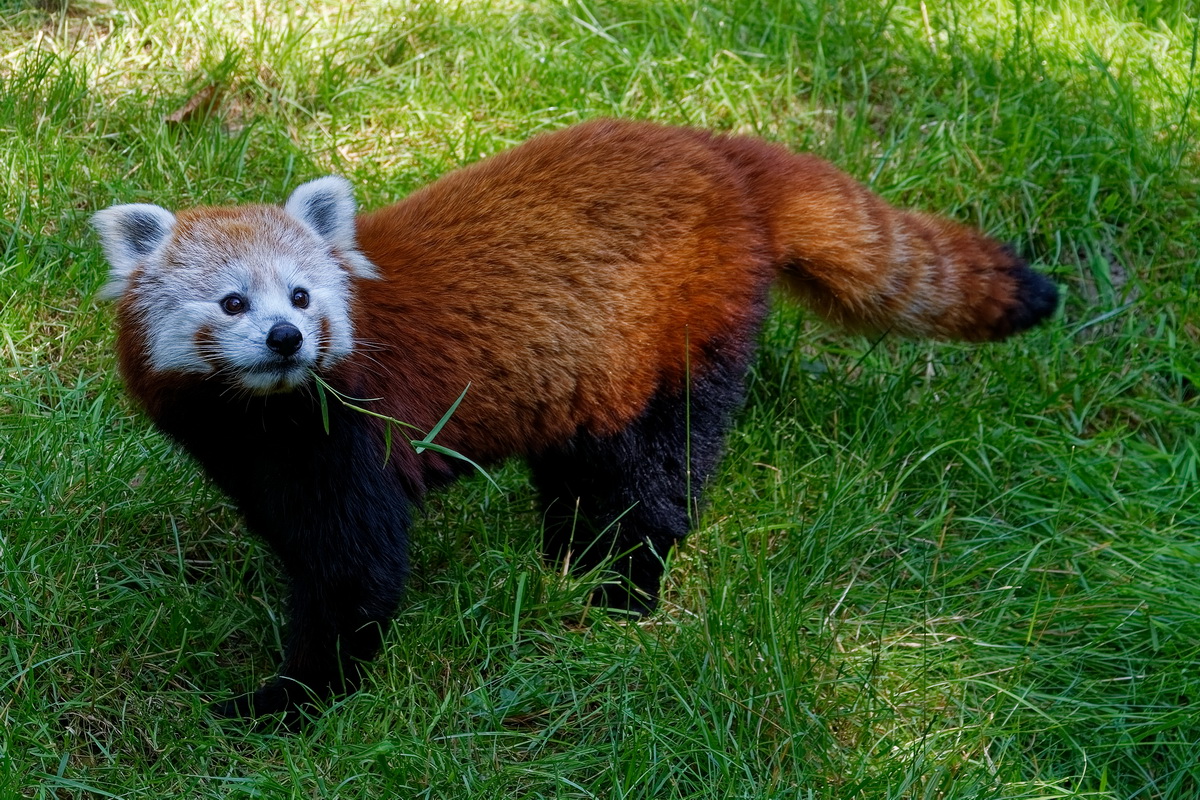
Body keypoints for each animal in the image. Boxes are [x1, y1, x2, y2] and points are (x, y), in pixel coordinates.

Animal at [93, 118, 1056, 719]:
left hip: (681, 328)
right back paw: (566, 554)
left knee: (662, 469)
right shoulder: (253, 451)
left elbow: (355, 573)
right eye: (232, 302)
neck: (267, 415)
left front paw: (290, 700)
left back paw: (625, 586)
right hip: (584, 370)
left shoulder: (352, 432)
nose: (288, 338)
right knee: (582, 457)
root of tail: (714, 148)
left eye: (300, 295)